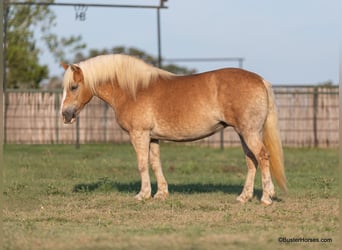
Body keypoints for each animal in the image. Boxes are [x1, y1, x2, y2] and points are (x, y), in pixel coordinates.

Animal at [60, 54, 286, 205]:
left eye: (73, 87)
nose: (65, 115)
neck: (133, 90)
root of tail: (260, 80)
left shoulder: (139, 134)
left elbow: (142, 164)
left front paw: (143, 194)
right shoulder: (152, 137)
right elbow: (155, 163)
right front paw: (161, 193)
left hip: (249, 132)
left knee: (262, 157)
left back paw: (266, 197)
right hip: (243, 133)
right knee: (251, 161)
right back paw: (243, 197)